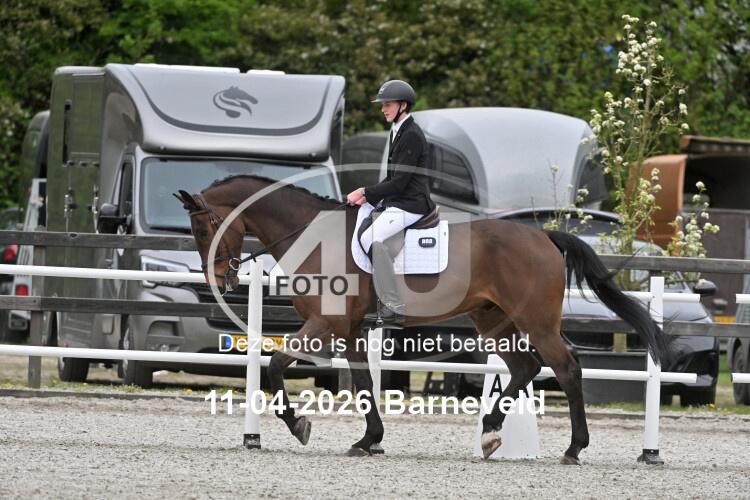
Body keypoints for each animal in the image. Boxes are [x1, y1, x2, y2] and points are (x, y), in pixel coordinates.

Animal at [174, 174, 668, 464]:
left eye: (202, 228)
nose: (220, 279)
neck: (313, 236)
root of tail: (544, 236)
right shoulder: (351, 332)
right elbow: (363, 383)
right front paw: (369, 440)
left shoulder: (324, 326)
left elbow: (276, 365)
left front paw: (299, 425)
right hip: (494, 320)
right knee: (525, 367)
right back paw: (490, 434)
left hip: (536, 321)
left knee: (565, 367)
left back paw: (573, 448)